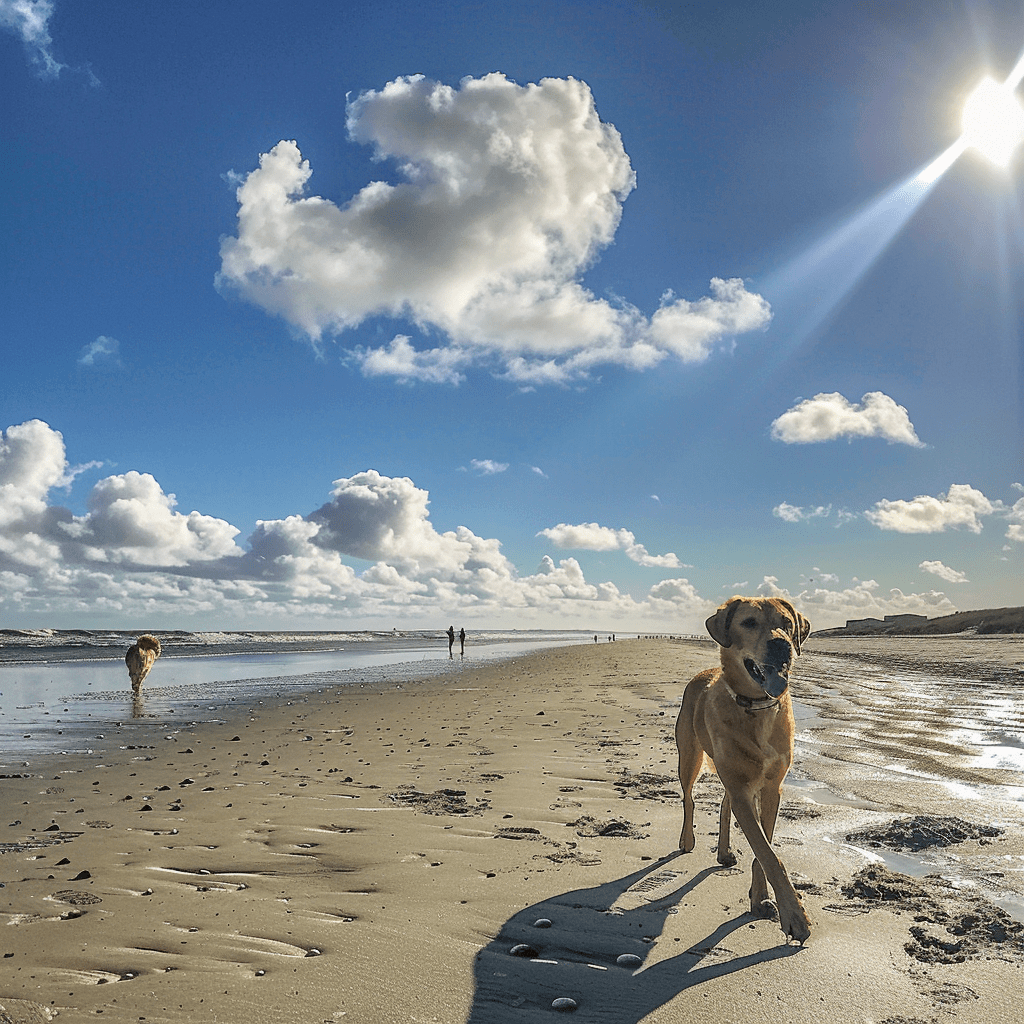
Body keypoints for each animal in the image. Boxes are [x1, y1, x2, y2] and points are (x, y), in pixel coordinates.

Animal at [675, 598, 811, 942]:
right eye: (749, 623)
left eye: (787, 623)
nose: (781, 645)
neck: (756, 707)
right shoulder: (742, 788)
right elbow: (769, 855)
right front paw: (795, 916)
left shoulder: (771, 789)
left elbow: (764, 850)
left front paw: (760, 899)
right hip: (689, 754)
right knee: (689, 798)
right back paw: (687, 840)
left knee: (725, 803)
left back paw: (724, 852)